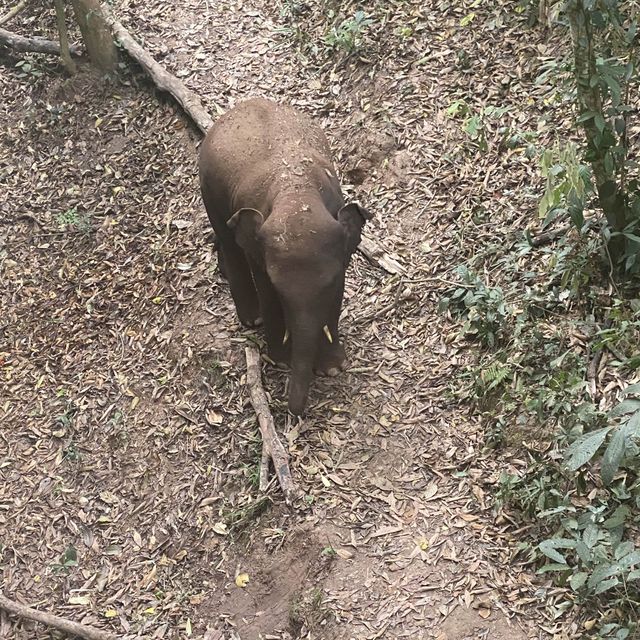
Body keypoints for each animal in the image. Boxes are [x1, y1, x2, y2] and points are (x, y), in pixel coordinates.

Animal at [198, 96, 372, 416]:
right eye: (279, 289)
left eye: (330, 283)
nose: (293, 412)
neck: (297, 194)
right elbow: (265, 288)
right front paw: (281, 360)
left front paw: (332, 368)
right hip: (209, 188)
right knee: (230, 243)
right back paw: (251, 319)